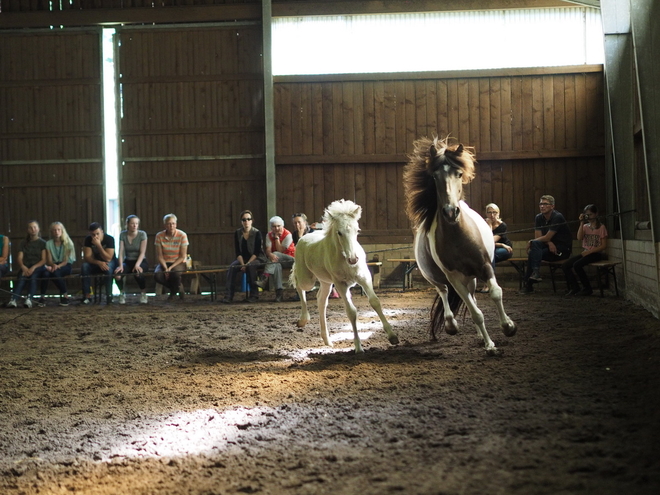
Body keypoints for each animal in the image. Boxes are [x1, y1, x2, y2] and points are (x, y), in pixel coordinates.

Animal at [292, 200, 398, 354]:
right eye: (339, 232)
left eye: (357, 230)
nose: (353, 259)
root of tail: (302, 238)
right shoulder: (341, 284)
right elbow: (351, 312)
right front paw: (358, 347)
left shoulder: (364, 278)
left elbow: (375, 302)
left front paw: (392, 336)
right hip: (307, 279)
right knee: (299, 285)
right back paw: (303, 320)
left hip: (325, 281)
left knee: (321, 300)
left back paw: (327, 340)